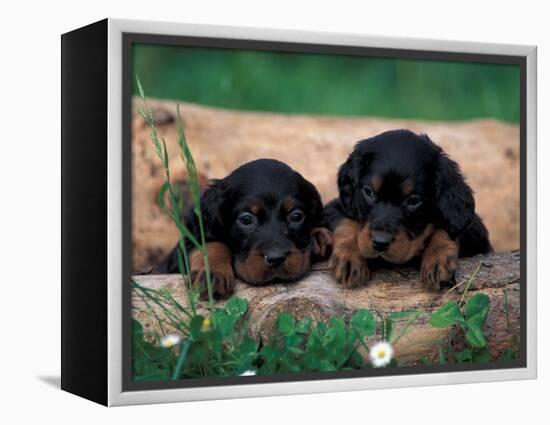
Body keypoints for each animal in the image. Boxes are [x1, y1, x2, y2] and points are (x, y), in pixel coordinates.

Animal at [157, 158, 334, 298]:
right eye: (246, 219)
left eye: (296, 216)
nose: (276, 258)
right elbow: (211, 243)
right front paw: (211, 273)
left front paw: (317, 236)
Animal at [326, 128, 494, 288]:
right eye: (369, 192)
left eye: (413, 201)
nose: (380, 242)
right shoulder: (336, 207)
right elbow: (346, 221)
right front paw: (349, 255)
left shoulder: (473, 227)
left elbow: (446, 227)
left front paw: (437, 257)